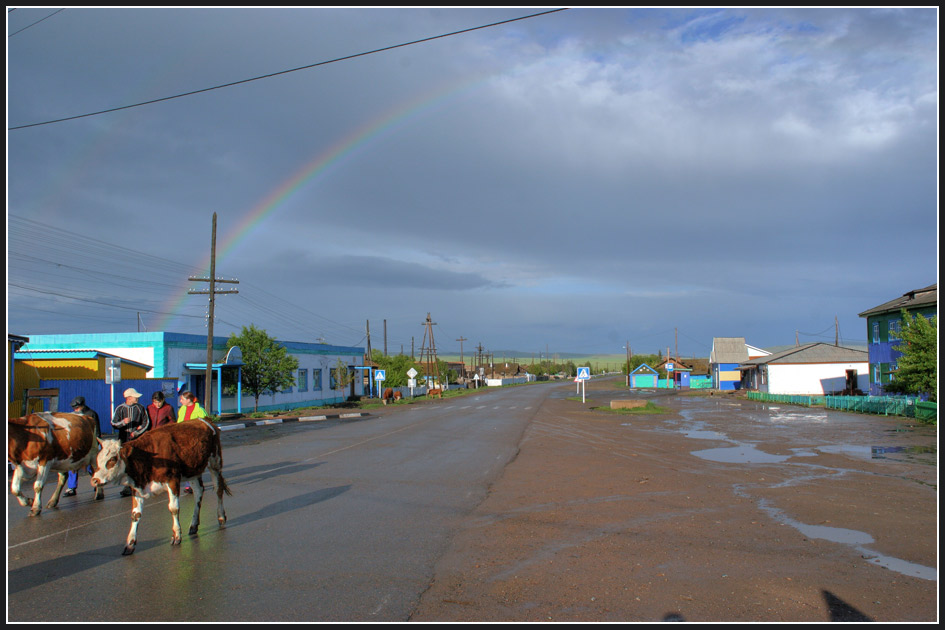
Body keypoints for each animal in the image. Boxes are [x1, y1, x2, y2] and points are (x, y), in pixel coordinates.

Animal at [91, 420, 231, 556]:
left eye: (113, 459)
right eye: (98, 459)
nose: (94, 480)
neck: (147, 458)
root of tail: (206, 421)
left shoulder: (173, 480)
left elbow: (174, 508)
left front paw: (176, 535)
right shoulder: (137, 488)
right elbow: (136, 514)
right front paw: (130, 544)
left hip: (215, 462)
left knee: (218, 489)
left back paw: (221, 517)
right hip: (193, 471)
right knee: (198, 492)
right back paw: (193, 525)